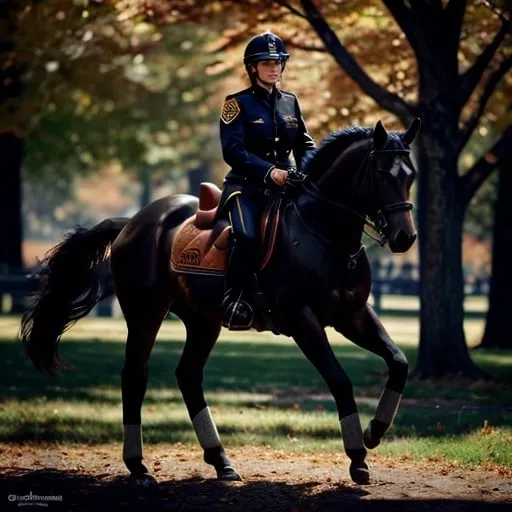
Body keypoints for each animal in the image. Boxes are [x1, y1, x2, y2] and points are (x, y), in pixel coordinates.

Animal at [20, 118, 420, 486]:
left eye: (411, 175)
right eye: (382, 175)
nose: (405, 237)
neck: (322, 232)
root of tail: (134, 221)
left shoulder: (353, 315)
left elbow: (398, 363)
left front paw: (374, 432)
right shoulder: (303, 321)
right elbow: (340, 381)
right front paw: (357, 456)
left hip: (203, 320)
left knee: (188, 376)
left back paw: (221, 461)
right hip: (146, 313)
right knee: (134, 376)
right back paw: (139, 467)